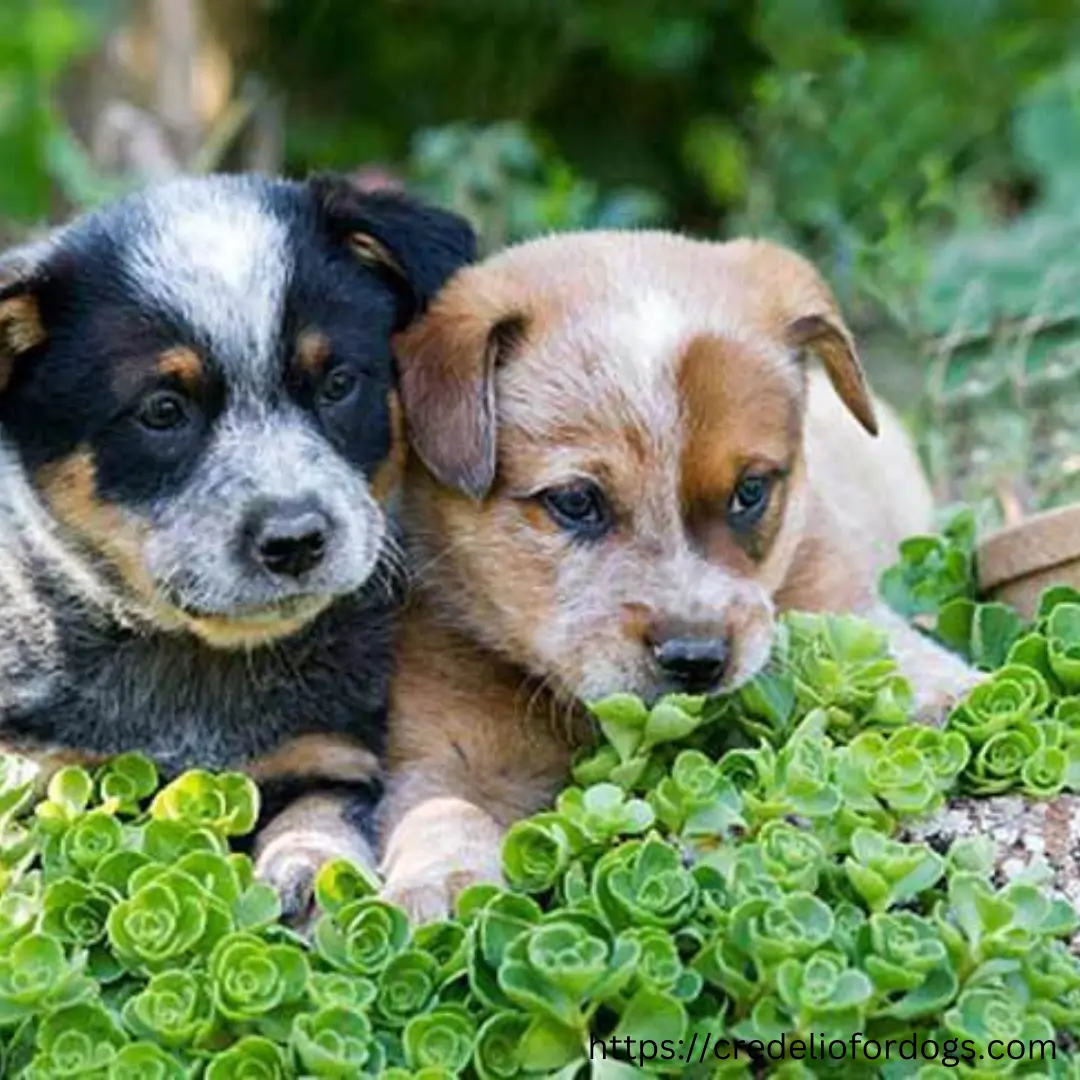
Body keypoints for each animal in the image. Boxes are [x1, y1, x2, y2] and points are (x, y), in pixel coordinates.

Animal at [0, 172, 477, 915]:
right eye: (163, 410)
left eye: (338, 383)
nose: (295, 539)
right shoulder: (47, 775)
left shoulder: (330, 754)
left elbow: (319, 812)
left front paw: (312, 865)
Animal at [378, 227, 980, 920]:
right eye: (576, 501)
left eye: (750, 491)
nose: (696, 658)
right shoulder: (443, 743)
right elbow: (441, 807)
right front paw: (439, 879)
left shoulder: (829, 584)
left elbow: (885, 643)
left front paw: (950, 691)